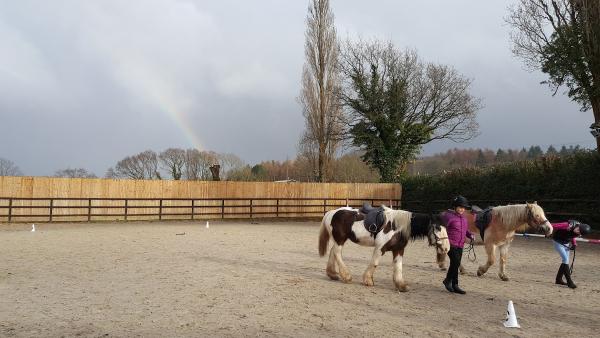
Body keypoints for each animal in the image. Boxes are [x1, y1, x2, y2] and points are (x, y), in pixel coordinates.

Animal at [318, 205, 450, 292]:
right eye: (438, 228)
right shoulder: (380, 248)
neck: (397, 226)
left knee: (333, 251)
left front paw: (401, 285)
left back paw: (333, 274)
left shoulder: (398, 250)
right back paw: (347, 276)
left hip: (339, 240)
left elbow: (398, 267)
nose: (446, 248)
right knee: (337, 253)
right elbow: (375, 263)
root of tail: (332, 212)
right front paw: (368, 280)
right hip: (340, 239)